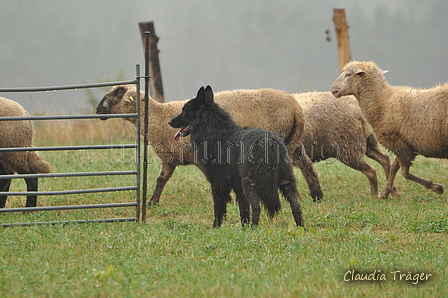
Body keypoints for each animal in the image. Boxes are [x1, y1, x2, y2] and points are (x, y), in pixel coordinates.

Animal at [96, 84, 324, 205]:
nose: (98, 110)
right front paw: (152, 202)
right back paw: (315, 195)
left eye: (118, 93)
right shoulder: (171, 158)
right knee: (307, 166)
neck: (158, 117)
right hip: (292, 141)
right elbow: (161, 180)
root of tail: (295, 107)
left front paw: (228, 200)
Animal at [168, 85, 304, 227]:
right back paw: (301, 228)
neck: (214, 131)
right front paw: (243, 227)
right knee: (296, 207)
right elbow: (243, 209)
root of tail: (269, 142)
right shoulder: (237, 186)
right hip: (286, 181)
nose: (169, 122)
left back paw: (253, 229)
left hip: (250, 183)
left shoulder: (218, 183)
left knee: (257, 208)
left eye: (184, 111)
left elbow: (219, 208)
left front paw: (216, 227)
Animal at [330, 60, 446, 198]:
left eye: (348, 74)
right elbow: (394, 168)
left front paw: (435, 187)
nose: (332, 89)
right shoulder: (402, 144)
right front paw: (386, 192)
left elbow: (403, 172)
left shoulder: (400, 145)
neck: (384, 102)